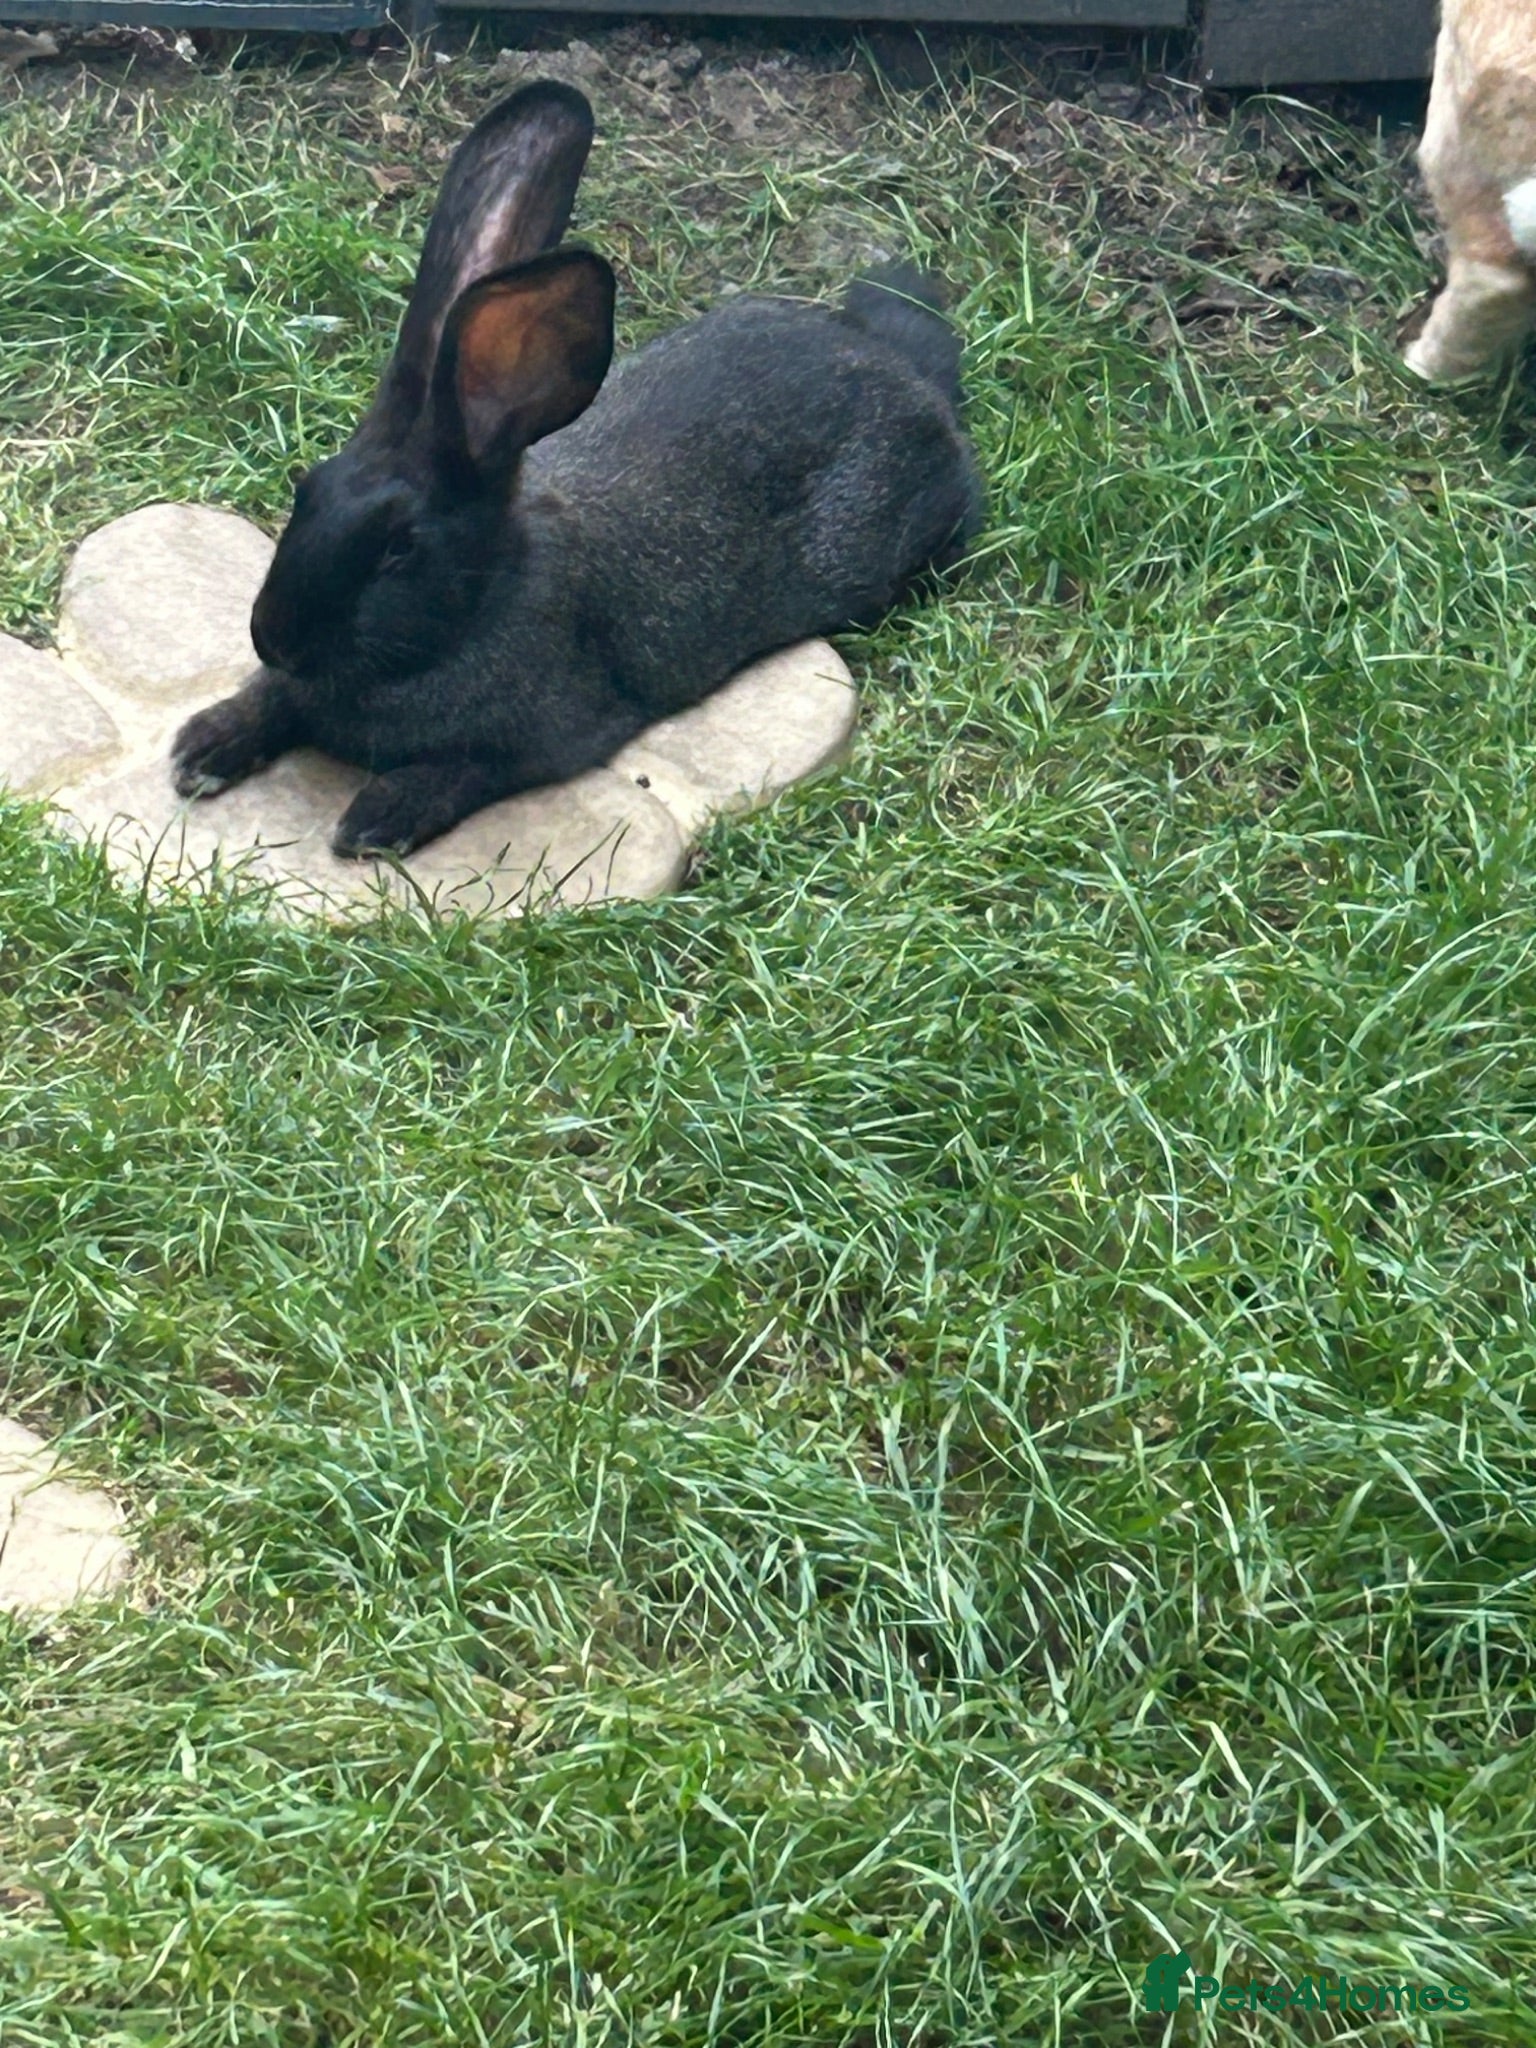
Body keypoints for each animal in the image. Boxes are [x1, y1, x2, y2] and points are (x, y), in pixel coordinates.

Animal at [172, 80, 984, 860]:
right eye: (305, 489)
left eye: (400, 547)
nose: (272, 638)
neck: (480, 602)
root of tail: (906, 373)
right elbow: (273, 701)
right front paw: (202, 748)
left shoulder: (552, 732)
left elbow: (471, 767)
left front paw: (377, 817)